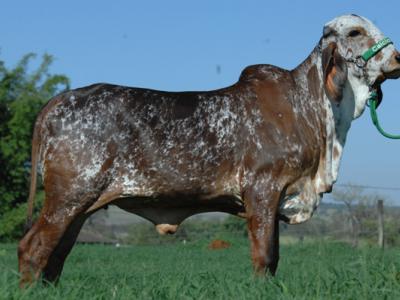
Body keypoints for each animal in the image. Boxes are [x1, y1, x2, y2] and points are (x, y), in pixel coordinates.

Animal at [18, 14, 400, 286]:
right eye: (355, 32)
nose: (397, 57)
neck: (309, 107)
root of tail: (57, 101)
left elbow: (274, 260)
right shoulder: (263, 191)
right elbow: (264, 257)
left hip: (81, 207)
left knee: (55, 258)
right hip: (69, 196)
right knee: (33, 249)